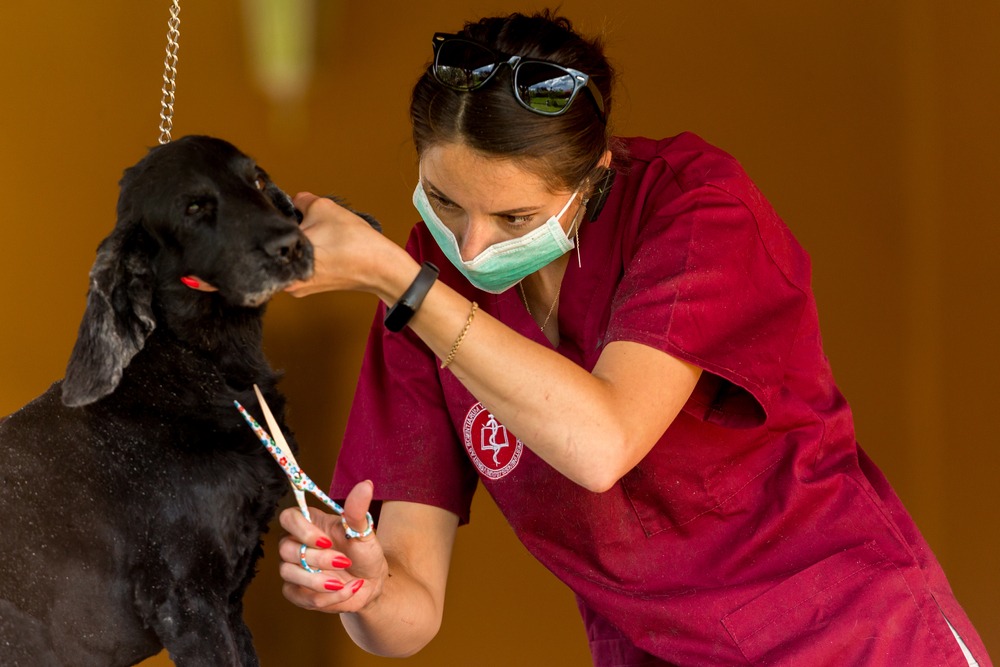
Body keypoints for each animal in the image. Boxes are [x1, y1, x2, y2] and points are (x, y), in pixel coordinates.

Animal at [0, 137, 336, 667]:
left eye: (258, 180)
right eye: (194, 208)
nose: (291, 245)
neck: (200, 364)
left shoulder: (229, 599)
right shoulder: (187, 601)